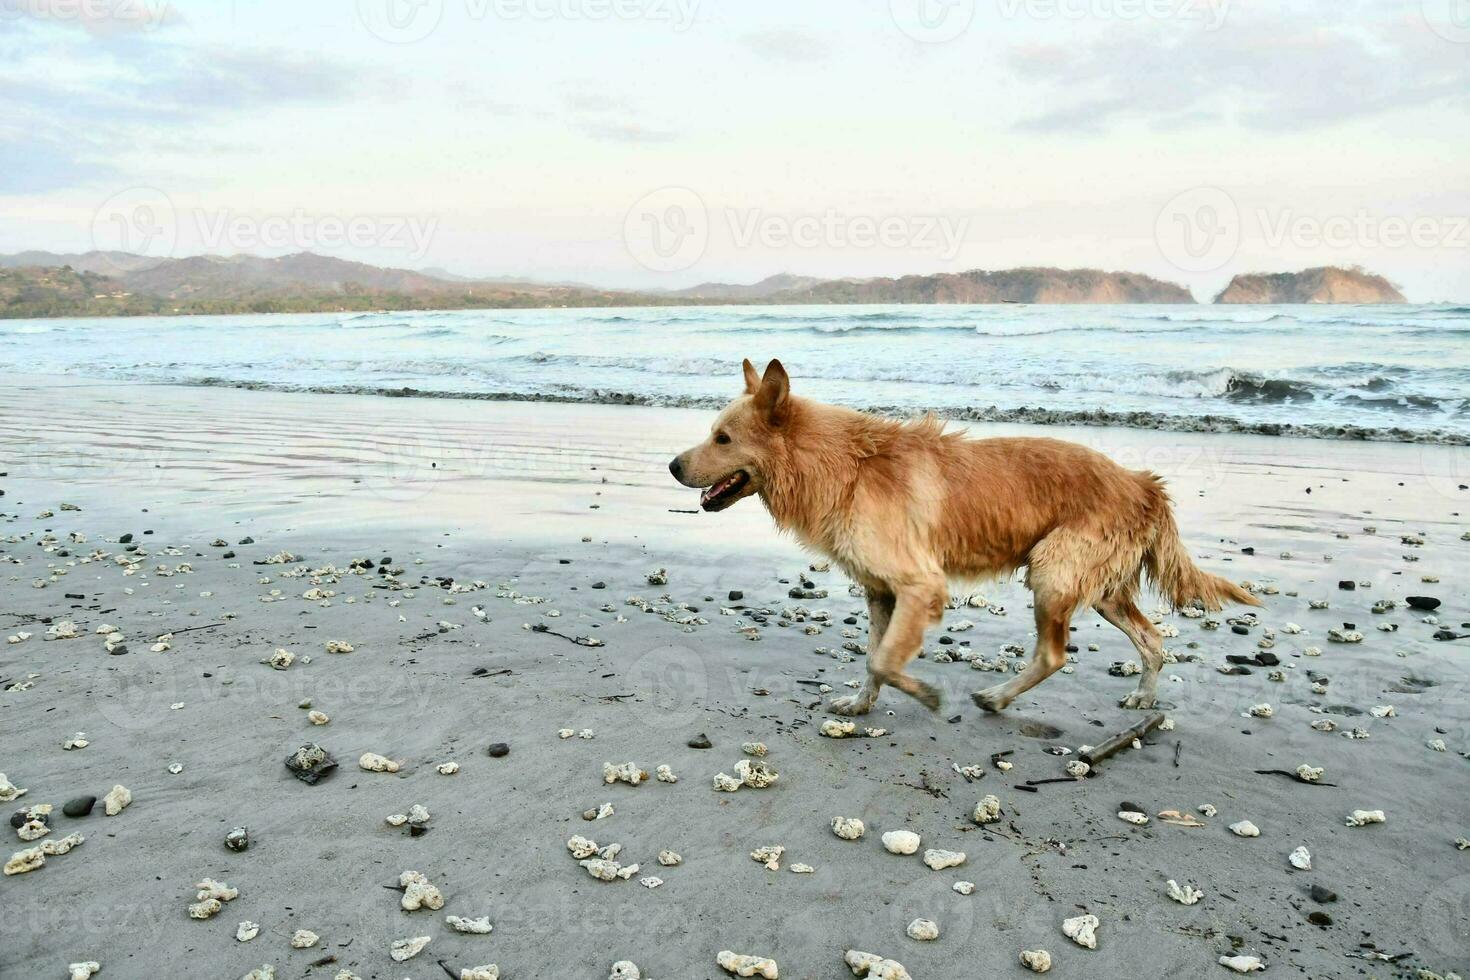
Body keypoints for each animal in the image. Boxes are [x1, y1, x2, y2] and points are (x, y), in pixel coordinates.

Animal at [673, 357, 1258, 717]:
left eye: (723, 438)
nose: (674, 465)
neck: (844, 466)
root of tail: (1142, 483)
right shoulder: (881, 591)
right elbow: (872, 657)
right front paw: (861, 705)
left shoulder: (920, 585)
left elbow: (884, 659)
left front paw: (926, 695)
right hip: (1101, 588)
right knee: (1152, 640)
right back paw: (1142, 698)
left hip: (1052, 572)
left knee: (1054, 656)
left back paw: (998, 698)